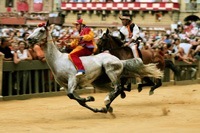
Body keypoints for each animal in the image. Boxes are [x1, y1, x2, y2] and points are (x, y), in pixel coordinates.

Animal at [26, 21, 162, 114]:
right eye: (35, 29)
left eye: (41, 30)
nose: (28, 38)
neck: (58, 60)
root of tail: (120, 61)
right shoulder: (64, 85)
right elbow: (75, 98)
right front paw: (92, 102)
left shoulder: (72, 80)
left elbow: (72, 95)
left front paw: (90, 98)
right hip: (99, 82)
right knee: (116, 89)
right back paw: (107, 106)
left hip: (110, 71)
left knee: (118, 88)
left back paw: (107, 101)